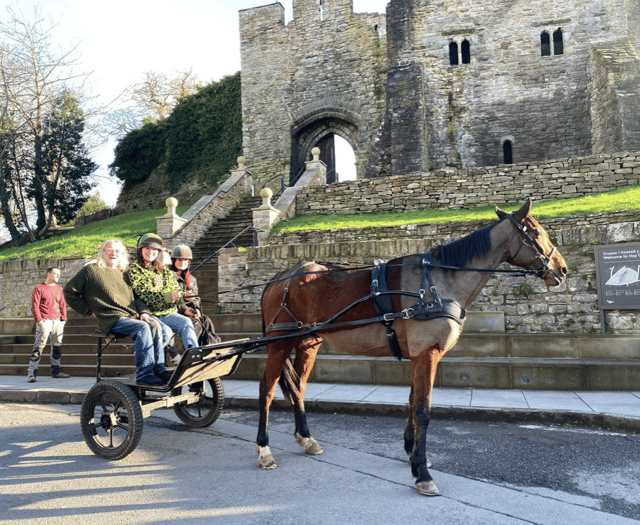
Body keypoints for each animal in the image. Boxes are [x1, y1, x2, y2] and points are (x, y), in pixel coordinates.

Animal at [255, 200, 564, 496]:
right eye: (537, 232)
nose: (562, 269)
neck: (438, 283)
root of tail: (280, 276)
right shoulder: (427, 353)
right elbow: (423, 411)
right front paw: (423, 475)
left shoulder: (420, 355)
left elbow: (413, 403)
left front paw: (414, 455)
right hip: (279, 342)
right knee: (267, 389)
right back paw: (264, 448)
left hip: (308, 343)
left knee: (297, 387)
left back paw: (306, 437)